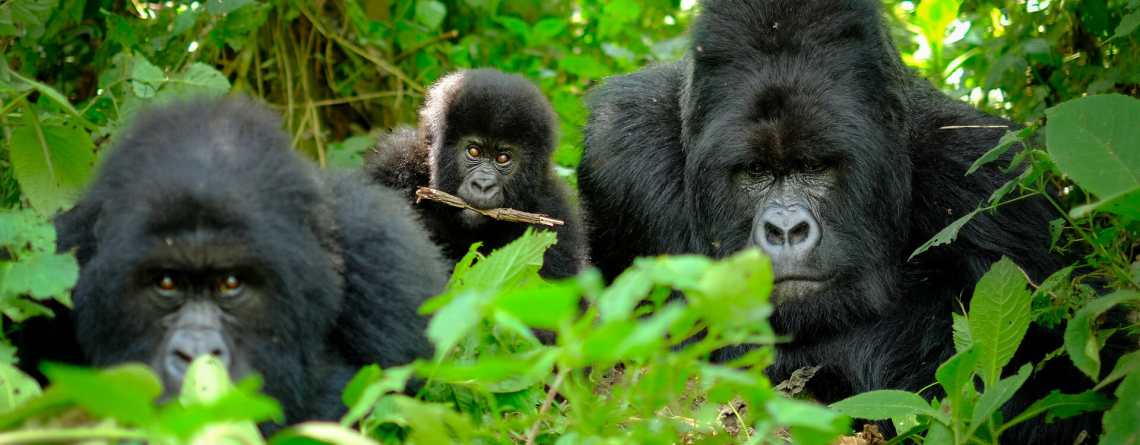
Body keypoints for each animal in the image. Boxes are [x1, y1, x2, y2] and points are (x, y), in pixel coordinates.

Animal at [583, 0, 1089, 440]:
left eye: (815, 167)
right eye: (756, 172)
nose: (785, 231)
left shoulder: (993, 182)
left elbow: (1047, 381)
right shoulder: (621, 153)